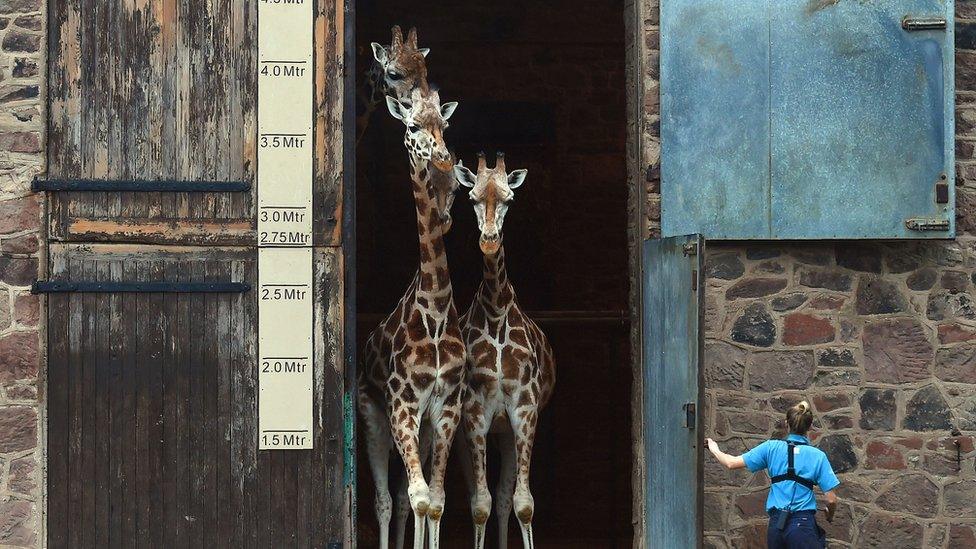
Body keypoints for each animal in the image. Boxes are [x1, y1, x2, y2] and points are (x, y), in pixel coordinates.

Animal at [452, 151, 552, 548]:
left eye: (509, 199)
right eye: (471, 198)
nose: (490, 241)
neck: (496, 309)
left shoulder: (524, 409)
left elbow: (523, 502)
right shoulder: (475, 412)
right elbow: (480, 503)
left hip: (506, 432)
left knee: (507, 495)